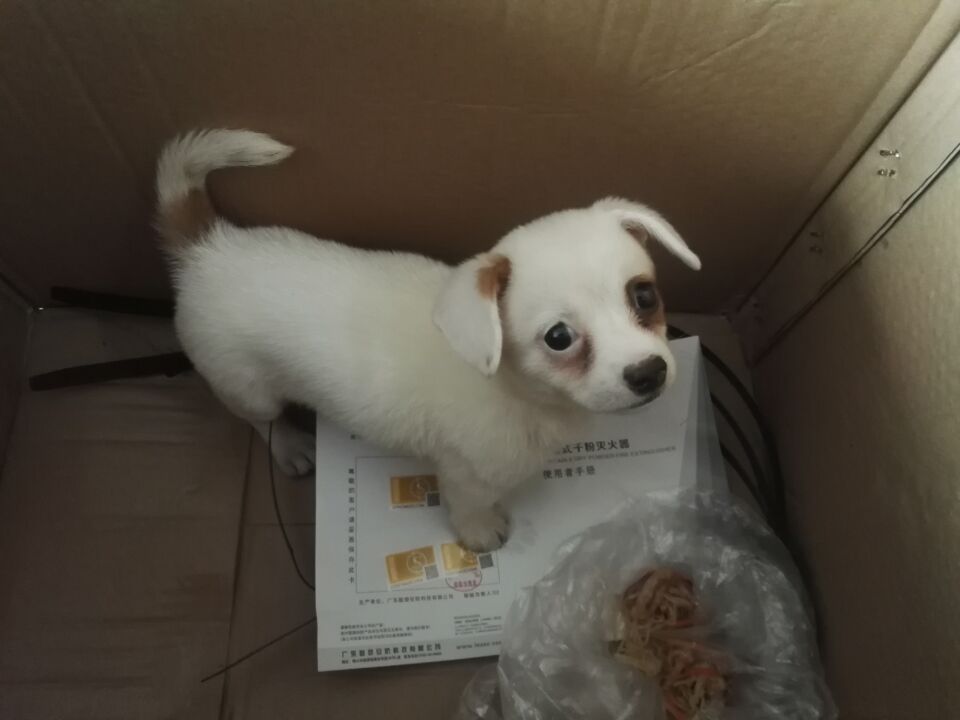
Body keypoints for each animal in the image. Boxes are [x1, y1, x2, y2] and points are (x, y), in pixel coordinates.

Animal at [155, 129, 700, 551]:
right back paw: (290, 447)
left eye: (645, 296)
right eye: (559, 338)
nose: (649, 373)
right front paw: (481, 533)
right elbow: (470, 506)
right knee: (260, 421)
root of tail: (208, 248)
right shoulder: (466, 473)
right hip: (246, 385)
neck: (519, 394)